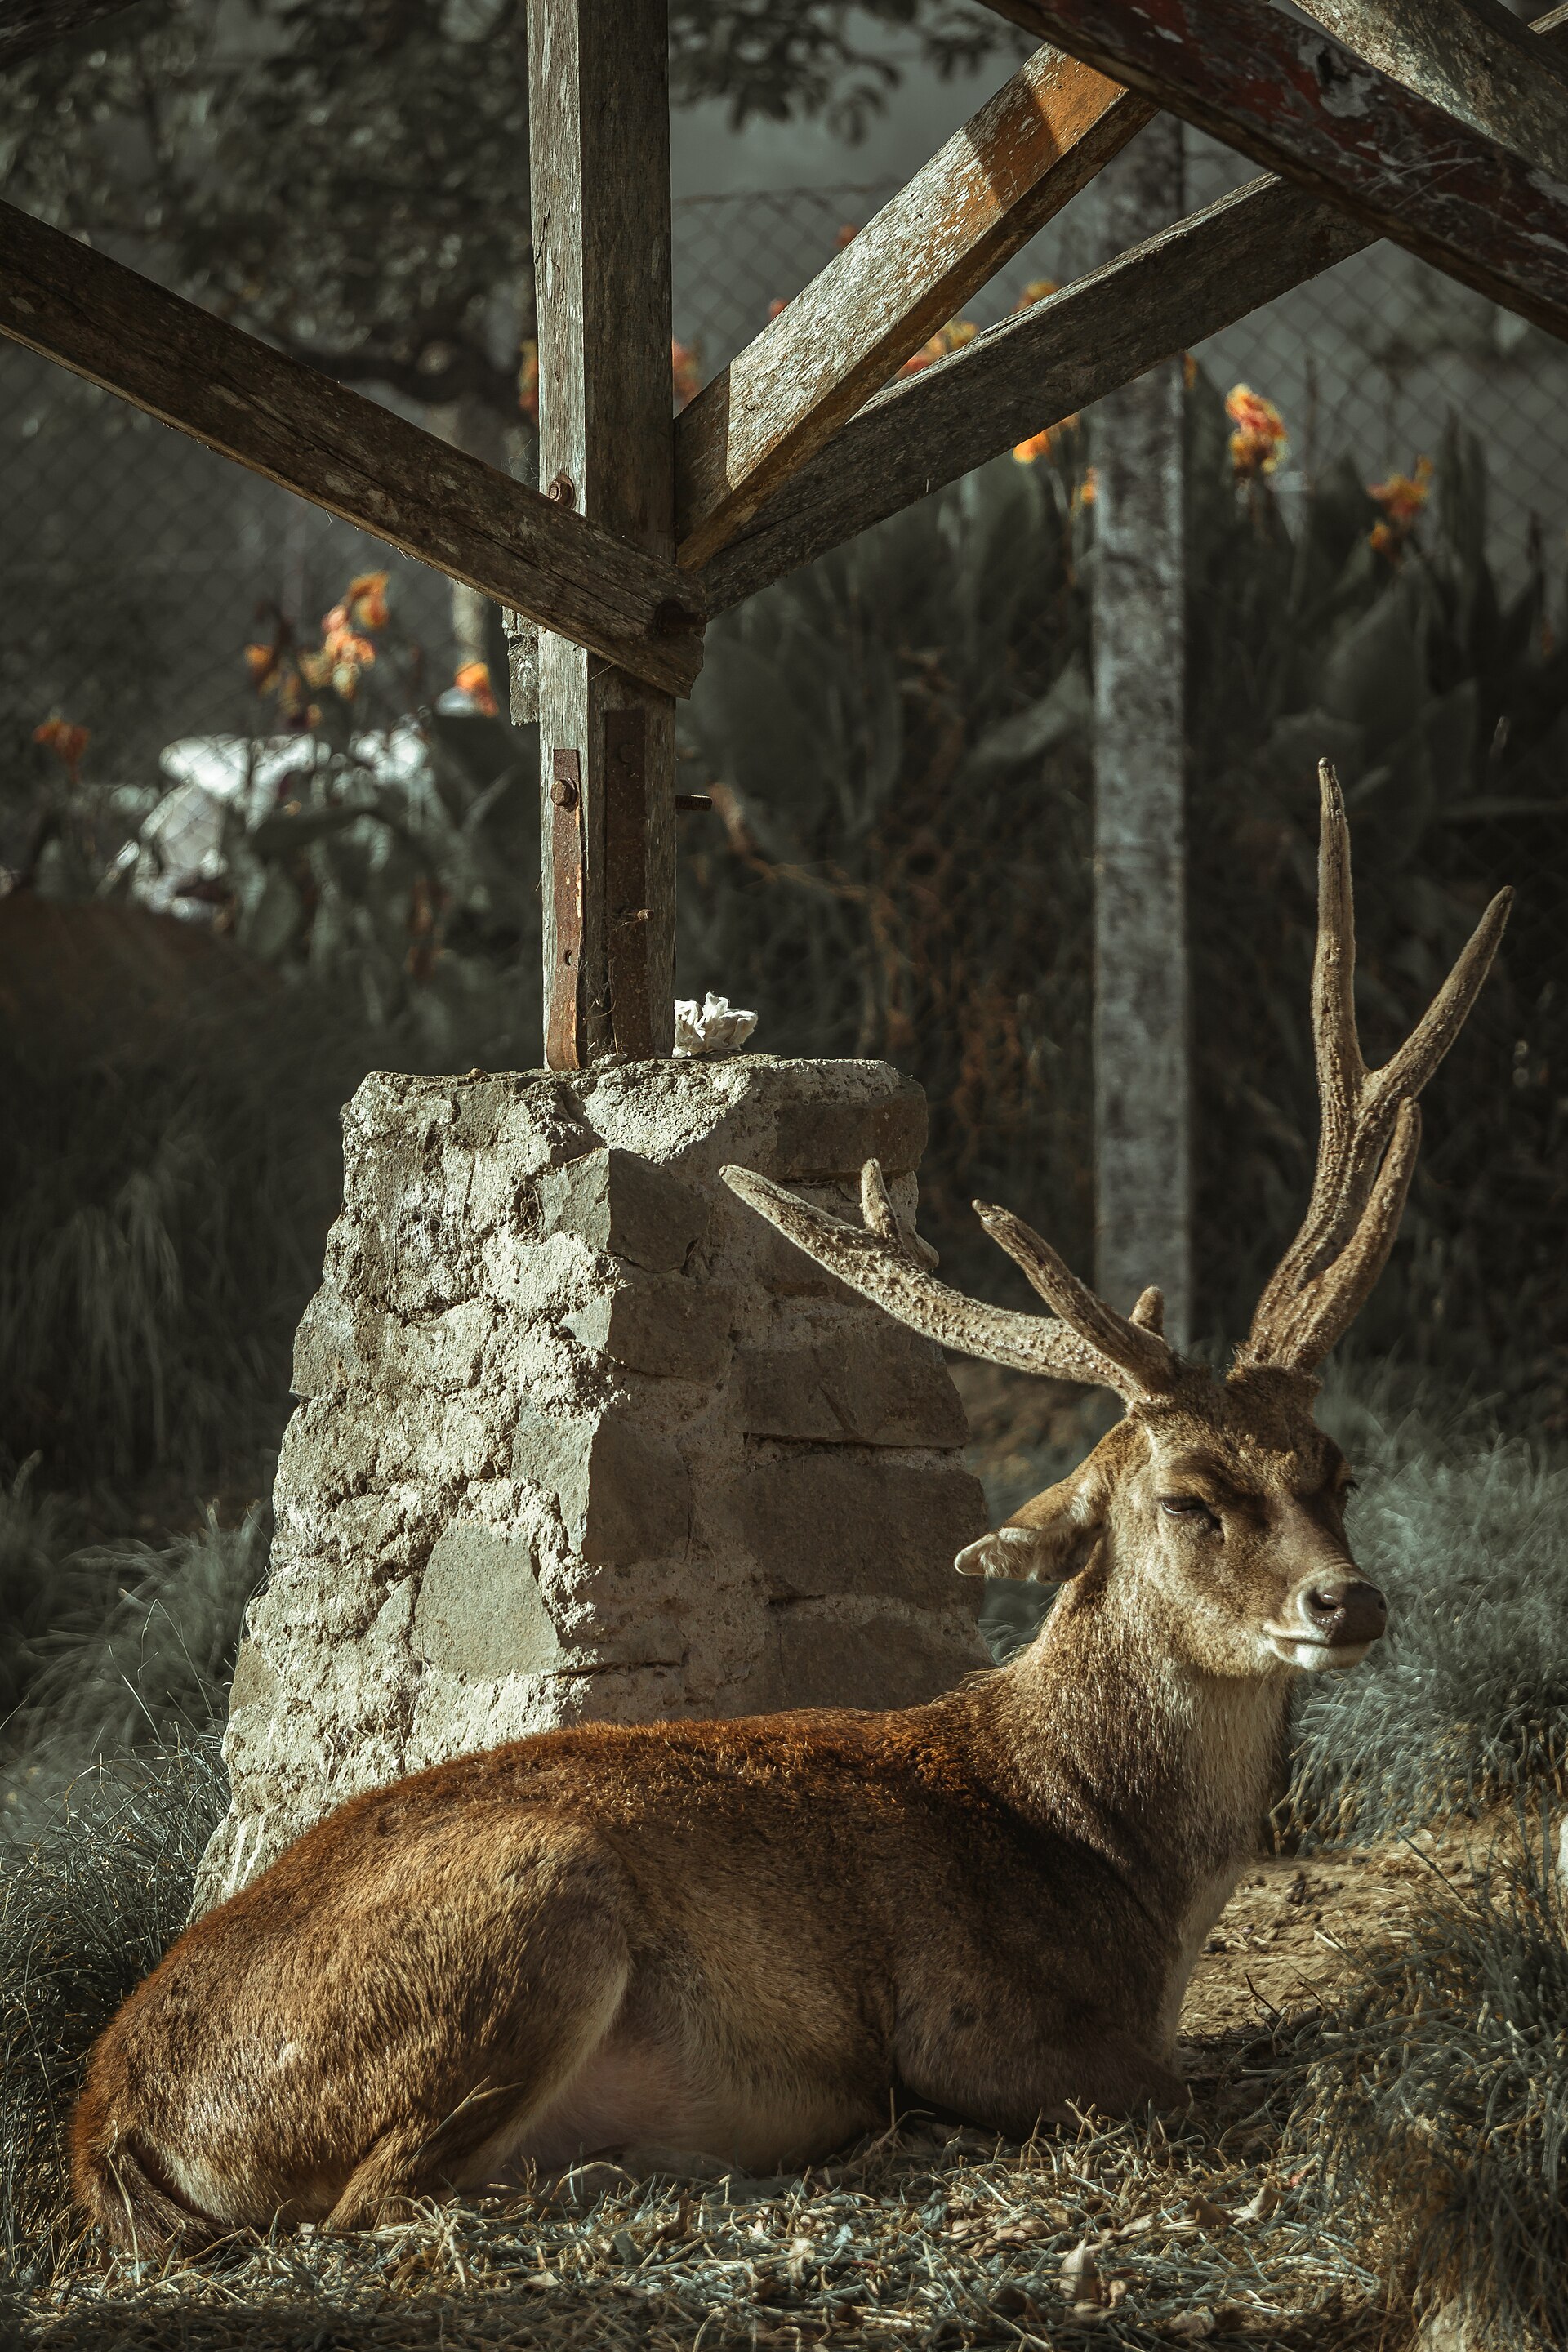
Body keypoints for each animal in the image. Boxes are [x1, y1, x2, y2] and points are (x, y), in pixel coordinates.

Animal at [73, 765, 1508, 2255]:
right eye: (1188, 1496)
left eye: (1336, 1467)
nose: (1349, 1599)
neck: (1112, 1864)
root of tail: (103, 2113)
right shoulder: (978, 2021)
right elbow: (1198, 2091)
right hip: (536, 1899)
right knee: (374, 2199)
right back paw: (631, 2171)